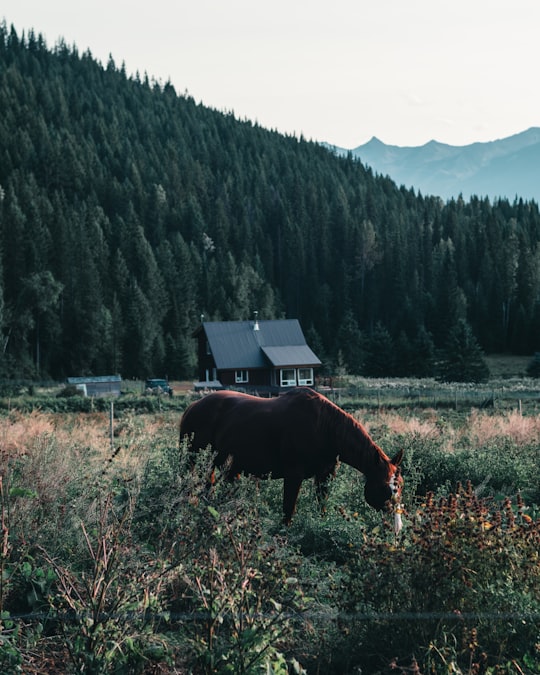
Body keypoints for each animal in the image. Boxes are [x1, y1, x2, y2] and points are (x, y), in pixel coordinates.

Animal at [179, 388, 402, 524]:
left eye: (400, 485)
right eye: (384, 488)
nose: (396, 526)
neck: (324, 427)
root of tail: (193, 406)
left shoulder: (325, 476)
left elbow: (322, 506)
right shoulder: (293, 475)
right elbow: (288, 510)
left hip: (227, 468)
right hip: (192, 461)